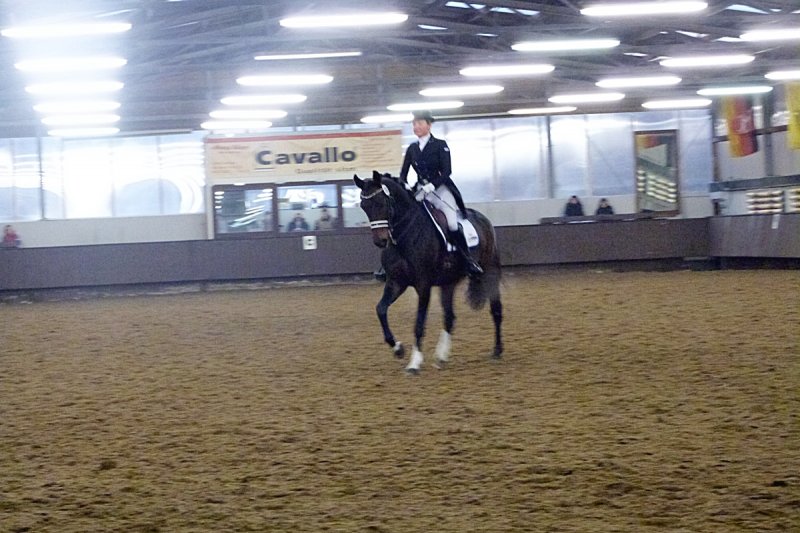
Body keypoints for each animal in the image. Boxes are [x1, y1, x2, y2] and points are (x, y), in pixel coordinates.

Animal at [354, 171, 503, 373]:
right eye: (364, 206)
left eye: (382, 203)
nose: (380, 241)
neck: (404, 236)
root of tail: (483, 219)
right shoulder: (396, 282)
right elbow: (381, 310)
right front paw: (398, 348)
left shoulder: (423, 286)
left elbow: (419, 323)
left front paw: (414, 363)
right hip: (448, 282)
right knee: (449, 317)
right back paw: (441, 357)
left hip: (489, 272)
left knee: (496, 310)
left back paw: (497, 350)